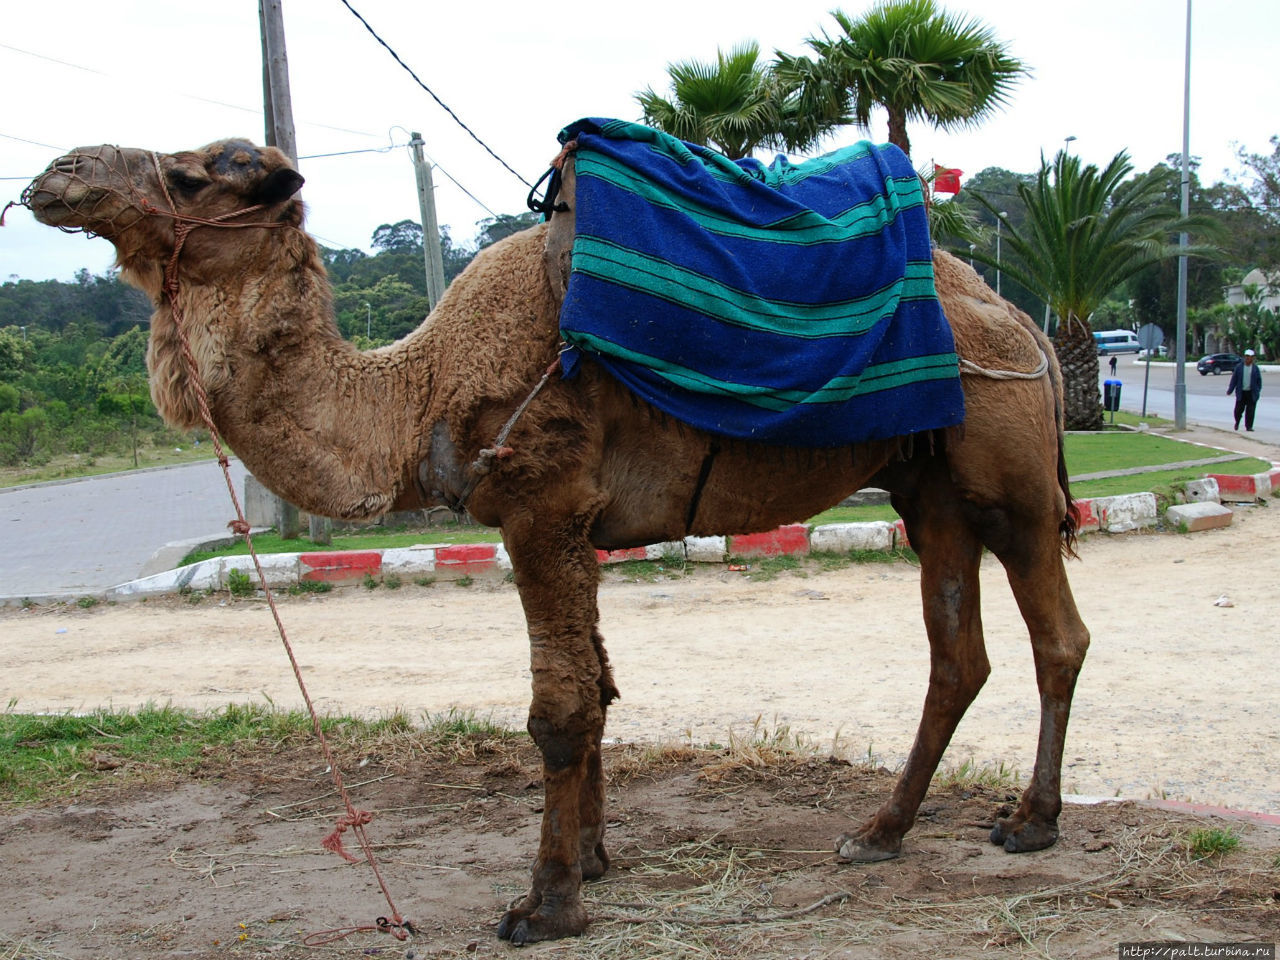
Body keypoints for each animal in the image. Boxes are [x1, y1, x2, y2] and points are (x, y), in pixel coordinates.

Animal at [24, 136, 1090, 947]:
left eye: (204, 170)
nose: (56, 173)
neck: (417, 393)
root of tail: (1023, 323)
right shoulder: (575, 526)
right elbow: (602, 690)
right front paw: (596, 859)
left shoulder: (542, 504)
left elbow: (560, 711)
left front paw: (545, 905)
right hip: (927, 484)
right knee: (957, 654)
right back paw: (879, 831)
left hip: (1005, 470)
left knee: (1058, 636)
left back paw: (1030, 823)